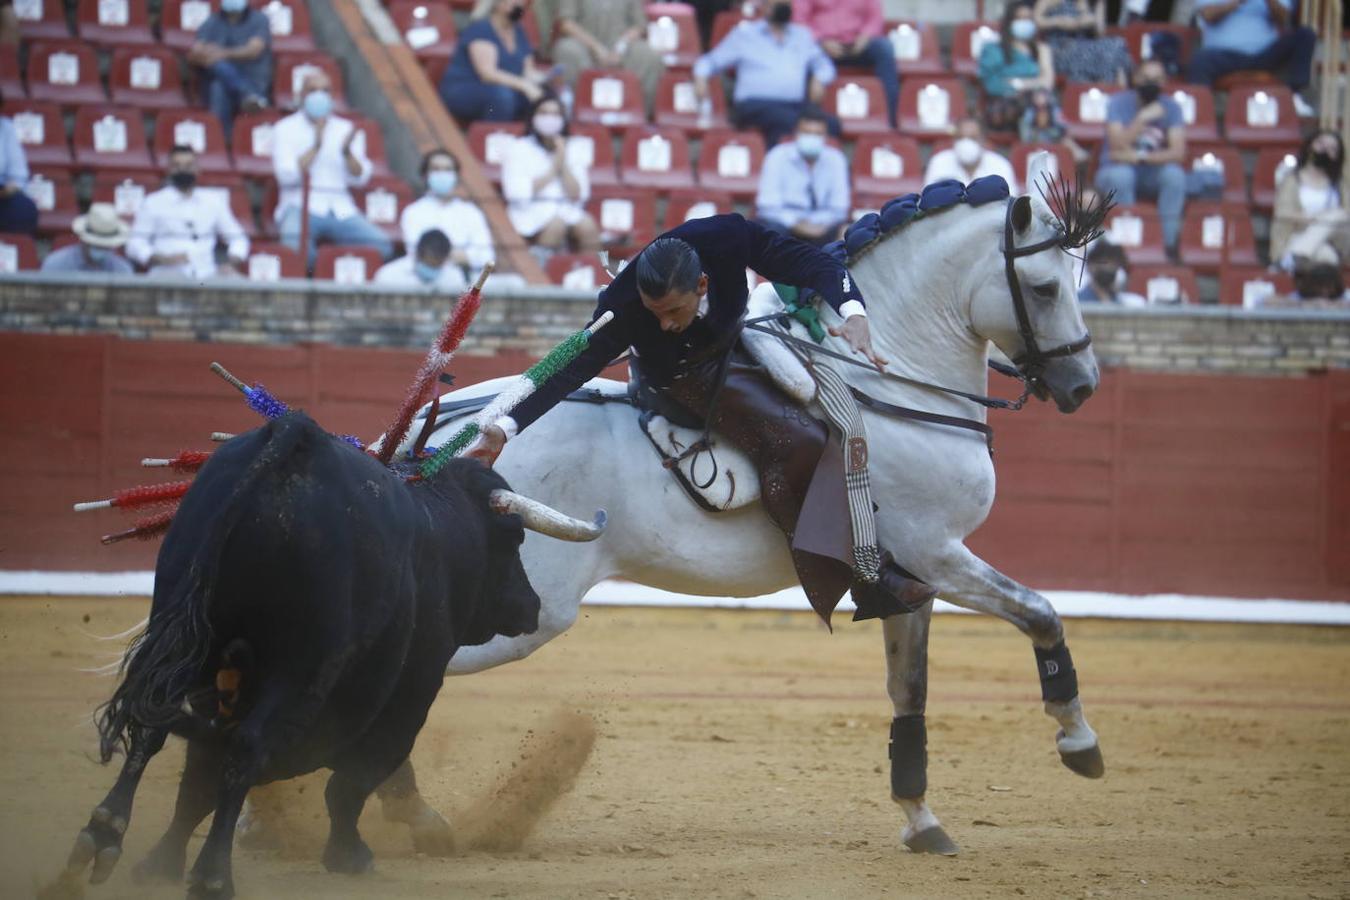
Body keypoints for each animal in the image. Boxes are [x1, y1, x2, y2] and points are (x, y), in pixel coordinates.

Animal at [62, 415, 548, 900]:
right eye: (514, 537)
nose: (531, 604)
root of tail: (296, 434)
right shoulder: (411, 692)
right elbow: (352, 782)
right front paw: (349, 856)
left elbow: (198, 781)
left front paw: (161, 863)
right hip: (299, 667)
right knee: (247, 745)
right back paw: (213, 875)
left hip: (184, 634)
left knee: (155, 722)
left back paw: (103, 833)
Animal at [399, 170, 1107, 858]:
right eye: (1045, 288)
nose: (1083, 385)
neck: (886, 387)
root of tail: (434, 451)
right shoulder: (935, 553)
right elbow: (1040, 612)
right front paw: (1079, 743)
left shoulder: (915, 581)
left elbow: (909, 688)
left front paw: (920, 819)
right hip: (527, 611)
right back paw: (412, 819)